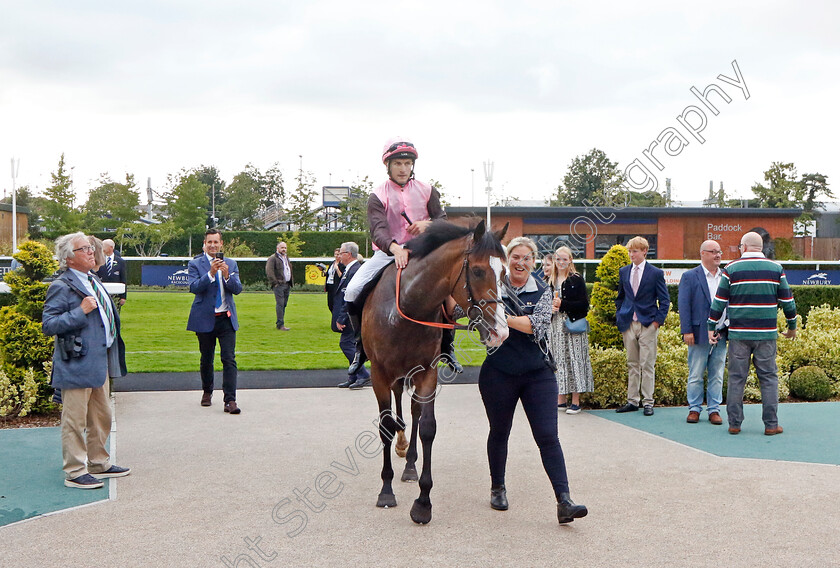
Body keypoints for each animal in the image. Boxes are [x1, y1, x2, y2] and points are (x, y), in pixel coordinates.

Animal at [362, 219, 508, 524]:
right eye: (478, 270)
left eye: (504, 272)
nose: (501, 332)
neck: (407, 306)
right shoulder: (379, 375)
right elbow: (385, 427)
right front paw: (386, 490)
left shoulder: (427, 372)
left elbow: (428, 427)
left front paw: (423, 502)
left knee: (414, 412)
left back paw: (409, 462)